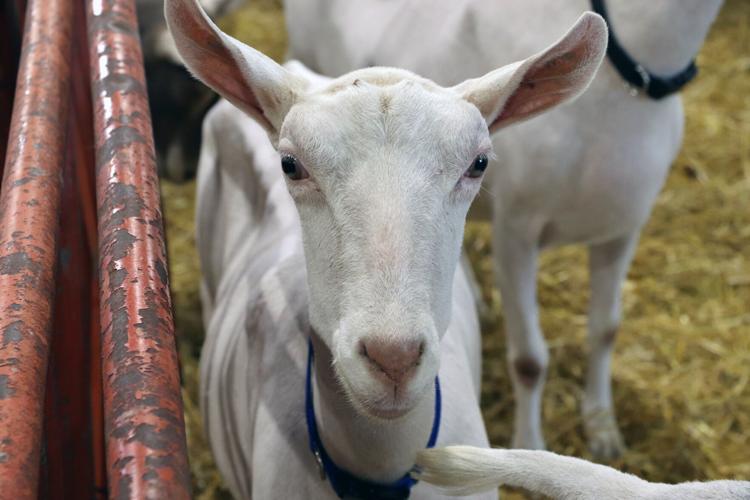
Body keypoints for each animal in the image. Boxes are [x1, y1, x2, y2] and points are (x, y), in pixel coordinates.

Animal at [282, 0, 724, 458]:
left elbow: (606, 330)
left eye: (480, 162)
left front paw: (603, 429)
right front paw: (531, 447)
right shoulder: (517, 229)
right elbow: (529, 360)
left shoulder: (623, 227)